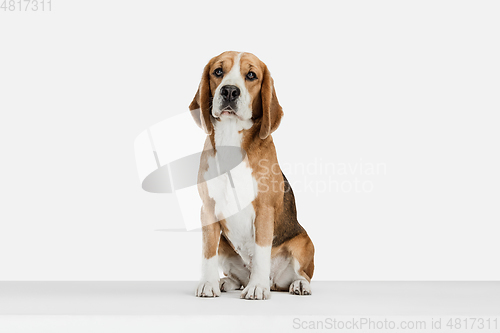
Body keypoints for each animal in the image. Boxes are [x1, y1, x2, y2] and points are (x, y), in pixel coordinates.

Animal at [189, 51, 314, 298]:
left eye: (251, 75)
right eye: (218, 71)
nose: (229, 91)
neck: (231, 138)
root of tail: (275, 282)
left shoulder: (264, 210)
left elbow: (260, 252)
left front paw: (257, 286)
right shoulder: (208, 209)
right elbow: (207, 253)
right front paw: (208, 283)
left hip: (303, 244)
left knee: (302, 275)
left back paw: (295, 285)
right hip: (224, 245)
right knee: (237, 276)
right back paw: (227, 282)